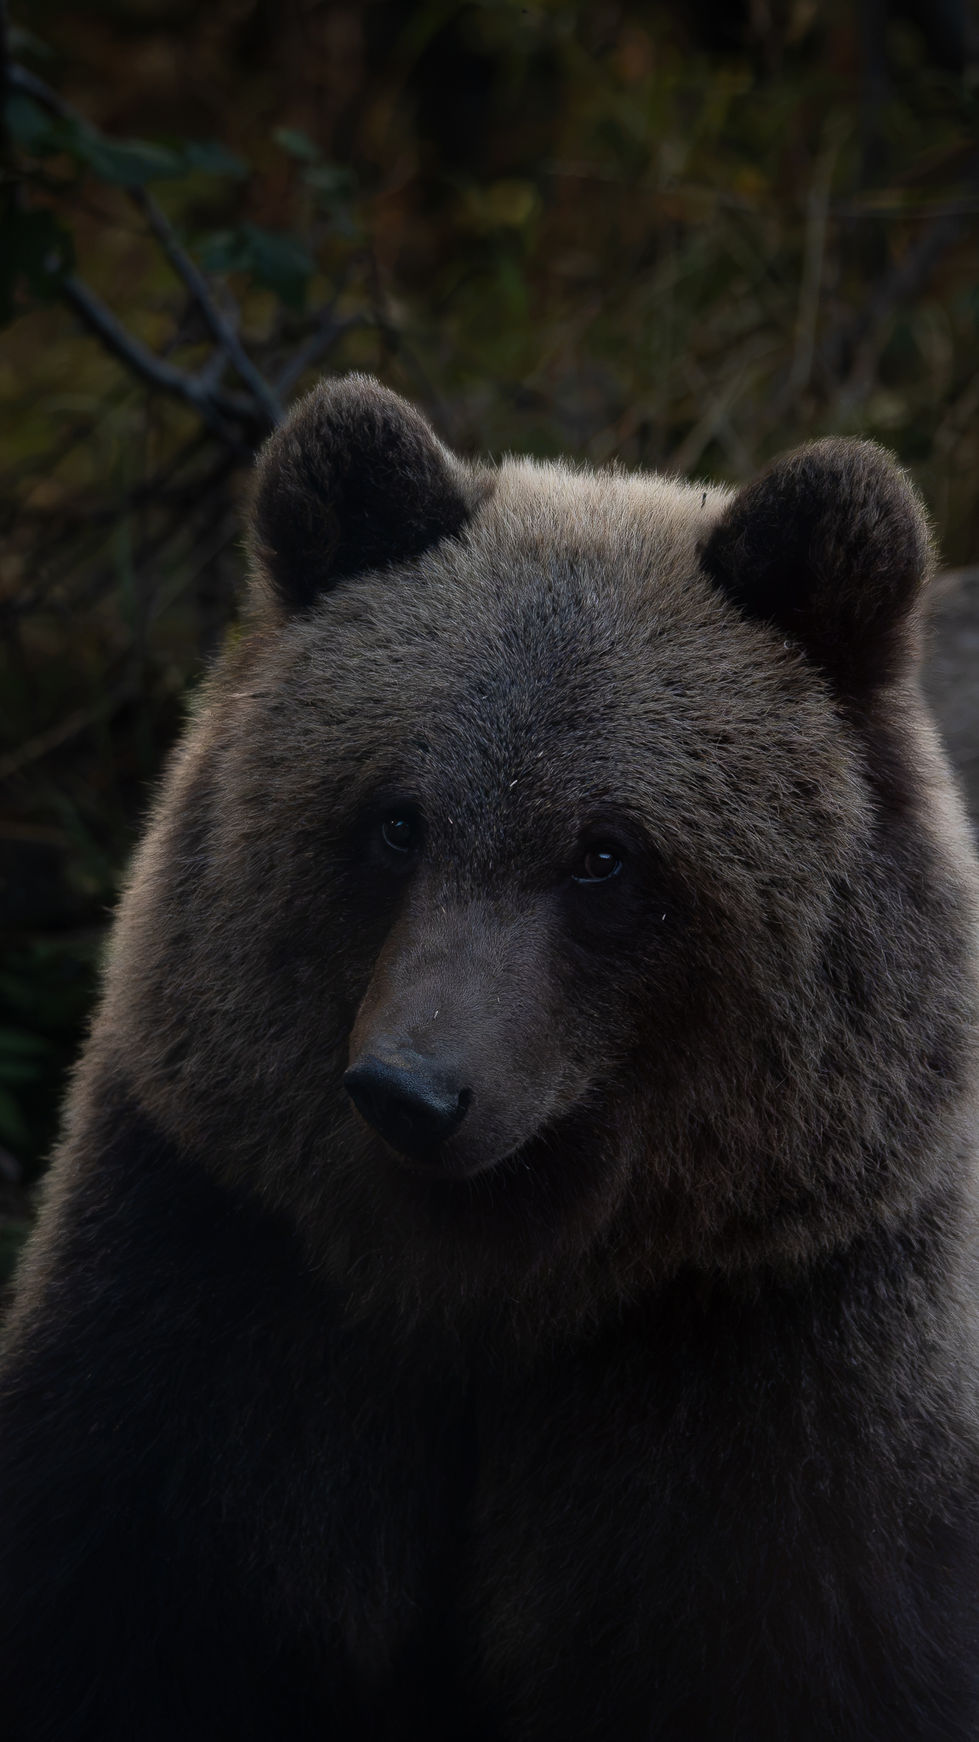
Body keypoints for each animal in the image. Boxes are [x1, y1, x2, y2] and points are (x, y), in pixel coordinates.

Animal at [2, 373, 979, 1741]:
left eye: (607, 851)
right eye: (394, 818)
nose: (413, 1089)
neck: (496, 1279)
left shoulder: (778, 1346)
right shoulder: (226, 1278)